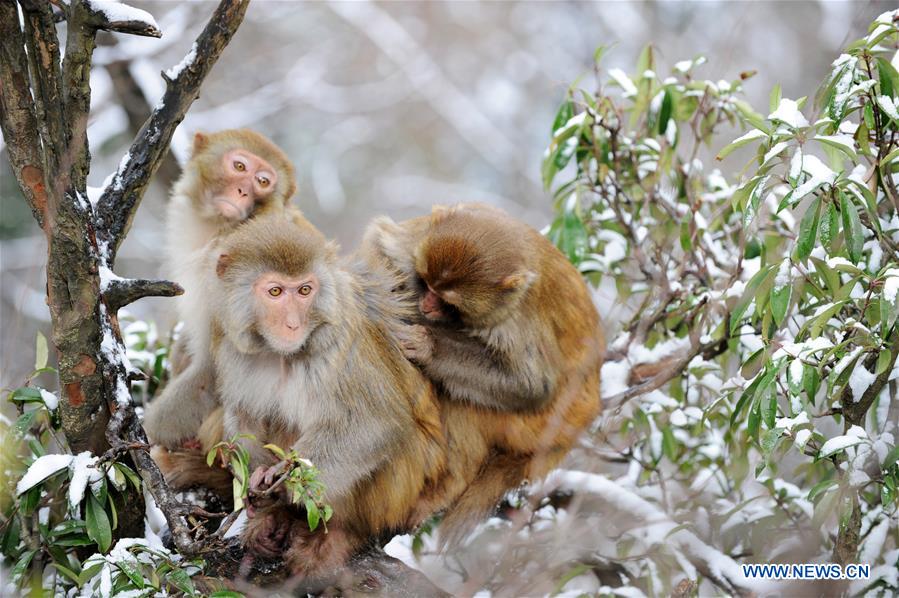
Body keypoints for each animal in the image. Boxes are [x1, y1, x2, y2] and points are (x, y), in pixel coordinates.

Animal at [142, 129, 298, 449]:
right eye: (239, 166)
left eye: (262, 181)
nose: (242, 191)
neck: (218, 228)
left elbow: (213, 371)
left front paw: (149, 434)